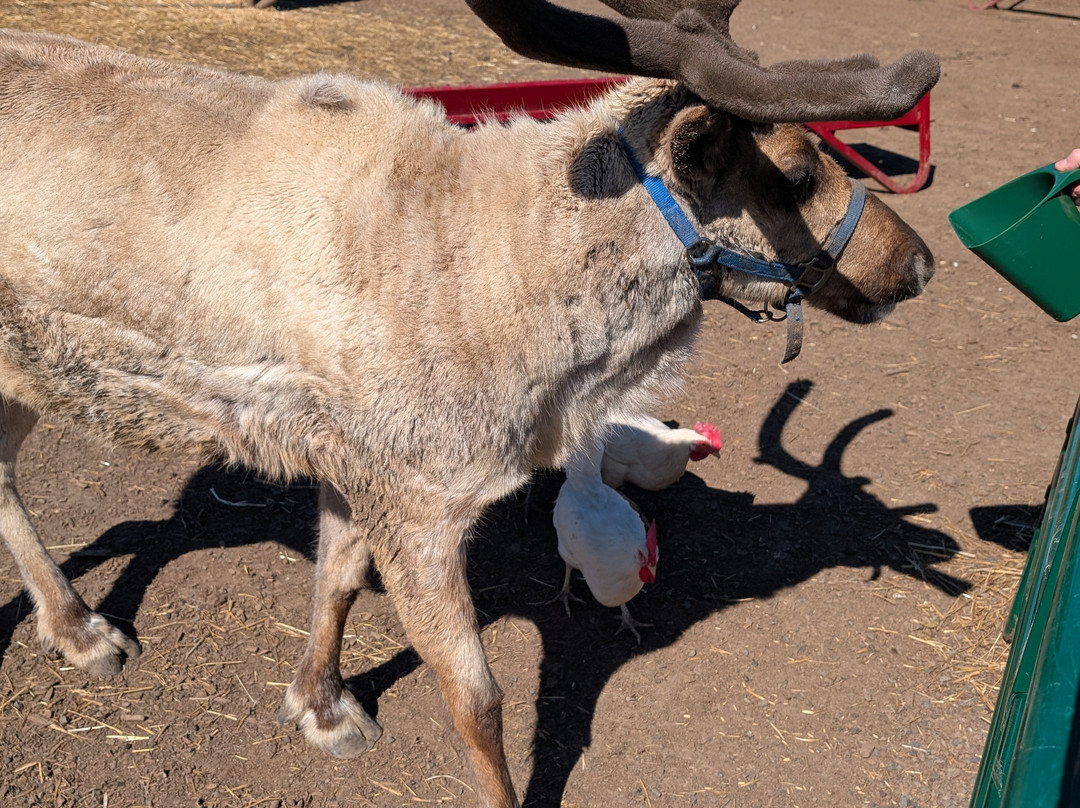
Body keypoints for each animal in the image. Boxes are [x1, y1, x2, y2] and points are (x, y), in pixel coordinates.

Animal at [0, 24, 934, 808]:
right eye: (798, 174)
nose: (920, 264)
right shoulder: (423, 505)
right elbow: (477, 700)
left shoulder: (359, 467)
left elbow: (336, 579)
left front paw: (321, 707)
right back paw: (82, 629)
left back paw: (74, 626)